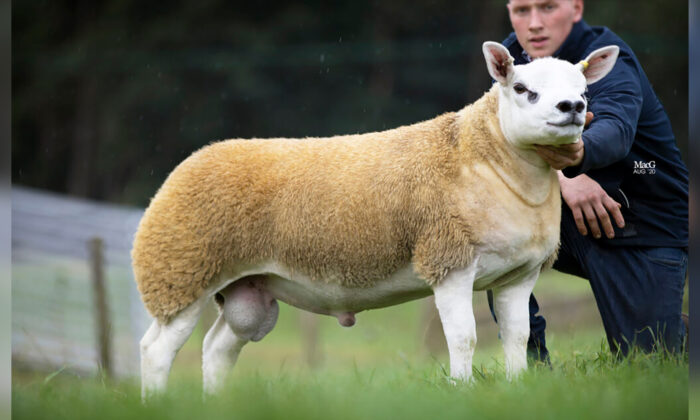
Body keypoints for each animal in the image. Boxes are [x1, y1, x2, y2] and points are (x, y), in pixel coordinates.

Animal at [131, 41, 616, 398]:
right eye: (521, 87)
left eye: (584, 89)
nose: (572, 106)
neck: (488, 159)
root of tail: (191, 161)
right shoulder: (449, 260)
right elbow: (464, 338)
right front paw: (461, 391)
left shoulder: (520, 274)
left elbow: (518, 338)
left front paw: (515, 390)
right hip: (180, 272)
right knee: (155, 350)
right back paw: (156, 403)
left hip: (246, 290)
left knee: (216, 349)